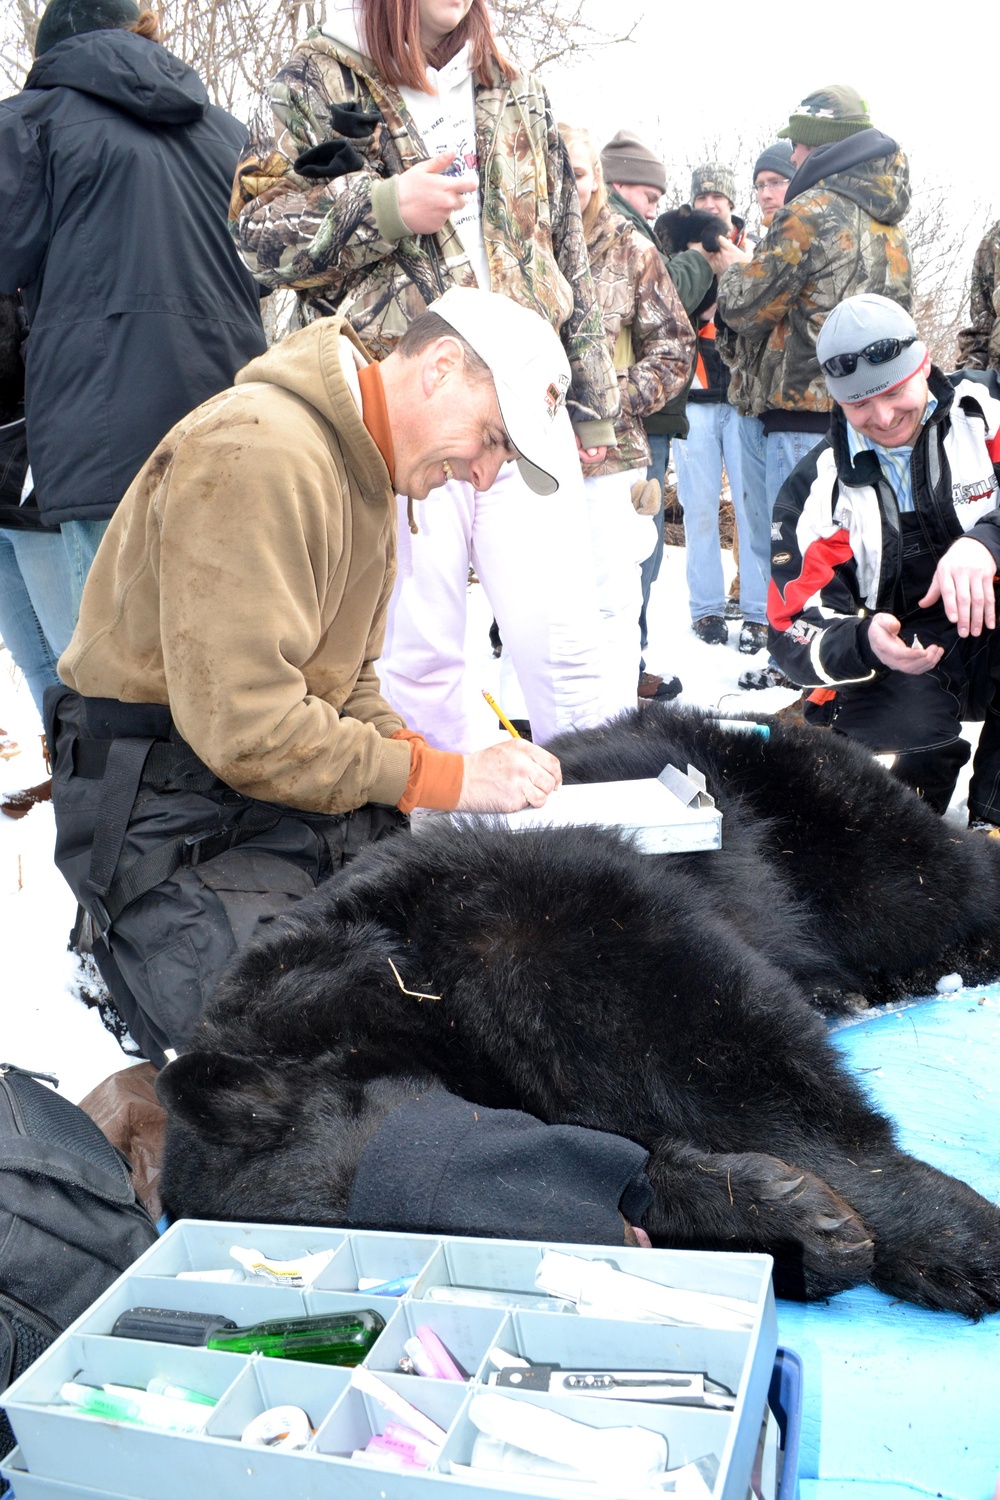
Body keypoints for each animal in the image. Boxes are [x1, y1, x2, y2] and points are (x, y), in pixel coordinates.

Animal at [160, 708, 1000, 1320]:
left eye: (431, 1152)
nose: (613, 1226)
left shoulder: (531, 916)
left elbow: (718, 1049)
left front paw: (948, 1238)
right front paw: (794, 1223)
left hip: (821, 824)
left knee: (928, 878)